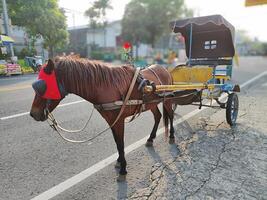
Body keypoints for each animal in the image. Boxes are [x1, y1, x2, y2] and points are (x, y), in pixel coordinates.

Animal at [29, 57, 176, 180]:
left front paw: (123, 169)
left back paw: (172, 136)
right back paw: (150, 138)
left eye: (43, 86)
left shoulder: (119, 120)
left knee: (171, 116)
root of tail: (165, 69)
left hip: (168, 100)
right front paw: (119, 161)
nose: (33, 113)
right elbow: (117, 143)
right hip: (152, 103)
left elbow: (121, 143)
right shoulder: (111, 121)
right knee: (158, 116)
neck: (108, 86)